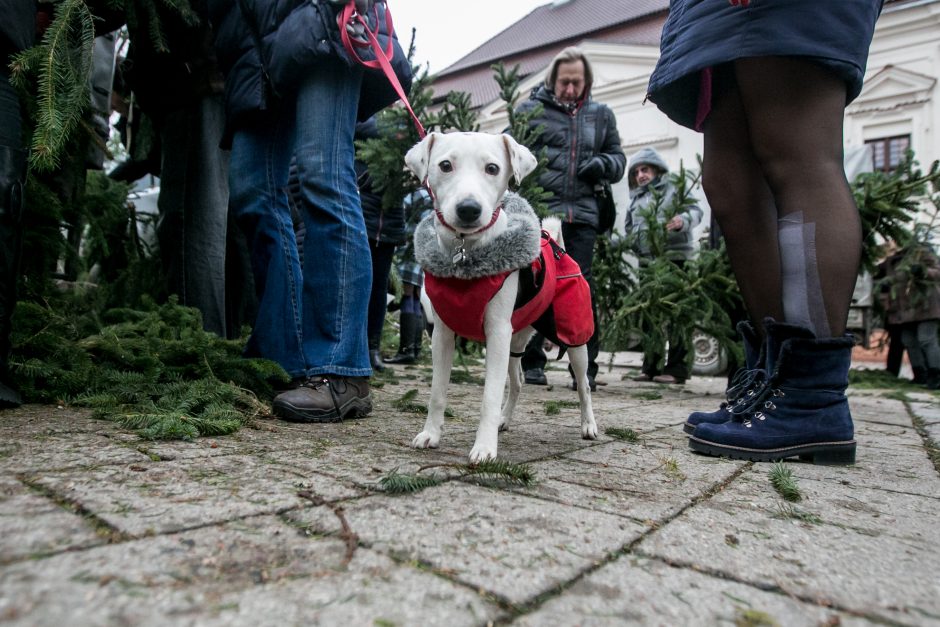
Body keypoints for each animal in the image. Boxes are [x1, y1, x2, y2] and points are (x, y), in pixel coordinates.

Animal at [402, 132, 596, 464]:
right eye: (445, 165)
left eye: (492, 168)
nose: (468, 208)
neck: (466, 254)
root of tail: (557, 246)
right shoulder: (442, 334)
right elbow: (438, 391)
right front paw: (431, 434)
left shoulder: (496, 332)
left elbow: (489, 396)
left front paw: (484, 448)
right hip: (515, 341)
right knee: (517, 381)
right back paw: (504, 420)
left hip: (573, 337)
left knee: (582, 382)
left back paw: (588, 424)